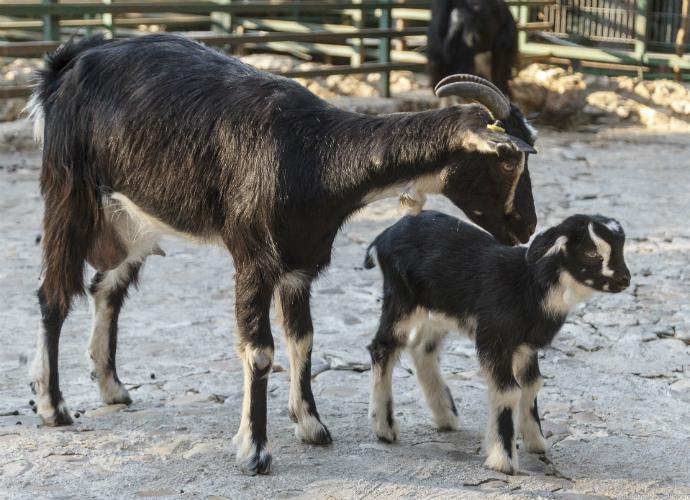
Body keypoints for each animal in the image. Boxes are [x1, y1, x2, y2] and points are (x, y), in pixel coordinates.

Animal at [29, 33, 538, 476]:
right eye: (509, 158)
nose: (527, 227)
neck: (314, 152)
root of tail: (66, 65)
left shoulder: (298, 265)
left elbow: (303, 340)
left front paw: (311, 425)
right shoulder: (254, 259)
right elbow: (259, 351)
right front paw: (254, 451)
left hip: (133, 217)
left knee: (106, 288)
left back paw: (111, 386)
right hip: (69, 194)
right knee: (53, 295)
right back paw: (53, 406)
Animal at [364, 211, 630, 474]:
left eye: (620, 248)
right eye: (591, 252)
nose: (624, 279)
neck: (528, 285)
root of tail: (383, 237)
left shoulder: (524, 346)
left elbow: (532, 384)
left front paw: (536, 442)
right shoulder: (494, 338)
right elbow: (508, 391)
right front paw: (503, 459)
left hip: (437, 309)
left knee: (422, 349)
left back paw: (445, 415)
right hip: (402, 299)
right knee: (382, 348)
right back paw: (385, 428)